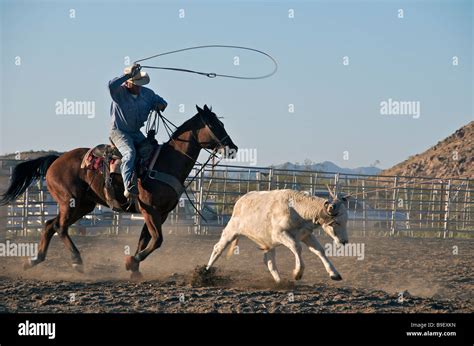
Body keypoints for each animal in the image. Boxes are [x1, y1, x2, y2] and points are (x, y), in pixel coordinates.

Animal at [0, 104, 237, 280]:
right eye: (214, 124)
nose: (232, 148)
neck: (165, 163)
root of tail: (55, 160)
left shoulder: (158, 213)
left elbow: (145, 239)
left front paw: (134, 269)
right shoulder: (150, 210)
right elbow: (157, 240)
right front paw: (132, 261)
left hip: (84, 204)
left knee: (50, 225)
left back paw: (34, 260)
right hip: (70, 201)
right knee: (60, 227)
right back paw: (77, 262)